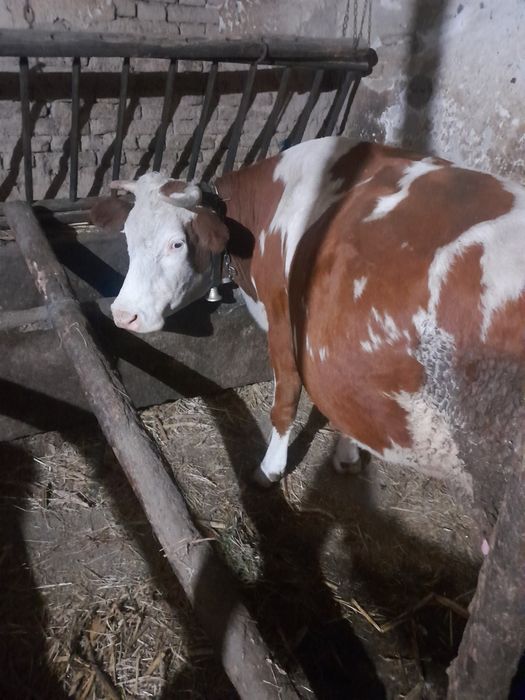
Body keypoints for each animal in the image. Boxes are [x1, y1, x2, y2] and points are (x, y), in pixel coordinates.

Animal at [91, 137, 525, 532]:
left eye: (177, 243)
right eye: (127, 237)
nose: (123, 314)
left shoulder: (284, 319)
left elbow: (285, 399)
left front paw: (269, 469)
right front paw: (348, 453)